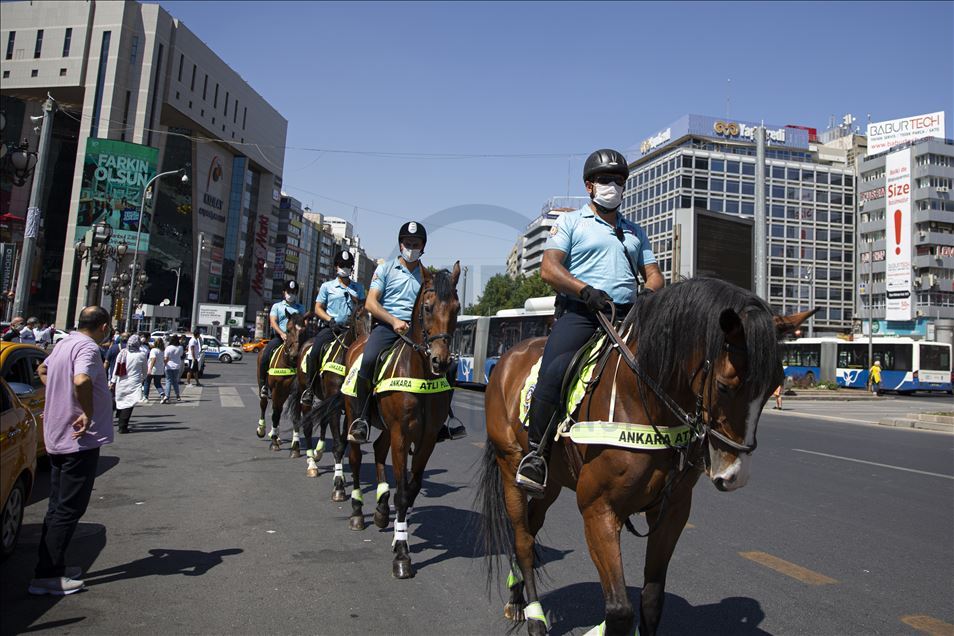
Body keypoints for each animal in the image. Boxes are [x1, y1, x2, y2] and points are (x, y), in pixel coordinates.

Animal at [256, 312, 308, 452]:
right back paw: (262, 430)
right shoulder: (277, 390)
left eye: (304, 331)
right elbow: (275, 413)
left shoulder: (297, 393)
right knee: (264, 404)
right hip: (263, 385)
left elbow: (296, 416)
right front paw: (274, 442)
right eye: (288, 330)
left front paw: (295, 445)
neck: (290, 363)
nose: (295, 354)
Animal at [300, 306, 370, 500]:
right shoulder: (336, 409)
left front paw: (340, 478)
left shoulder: (346, 407)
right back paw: (312, 464)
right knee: (307, 427)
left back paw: (318, 452)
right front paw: (339, 486)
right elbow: (338, 444)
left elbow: (343, 442)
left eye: (375, 319)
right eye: (357, 317)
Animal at [342, 260, 462, 580]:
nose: (441, 361)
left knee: (378, 451)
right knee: (356, 458)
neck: (419, 371)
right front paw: (402, 553)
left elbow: (411, 489)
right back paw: (357, 512)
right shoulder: (401, 435)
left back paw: (381, 510)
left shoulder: (427, 439)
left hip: (386, 427)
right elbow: (403, 492)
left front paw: (398, 533)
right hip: (354, 416)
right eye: (428, 307)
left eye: (457, 308)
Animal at [476, 278, 812, 636]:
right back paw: (534, 617)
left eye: (773, 385)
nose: (735, 475)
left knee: (530, 525)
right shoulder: (599, 509)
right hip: (510, 466)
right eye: (724, 386)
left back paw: (517, 596)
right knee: (523, 539)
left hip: (551, 482)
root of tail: (507, 359)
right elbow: (619, 610)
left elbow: (651, 600)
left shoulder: (672, 511)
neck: (642, 397)